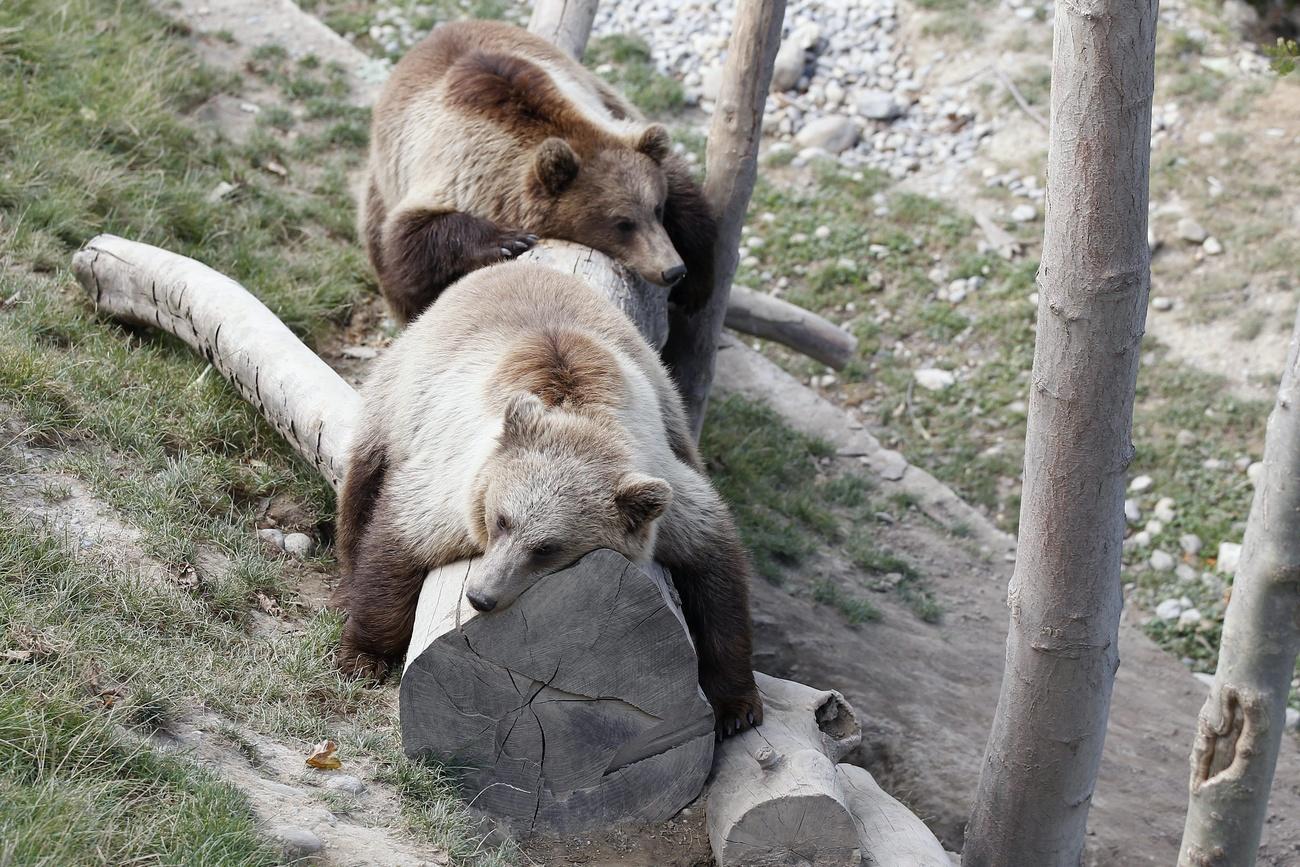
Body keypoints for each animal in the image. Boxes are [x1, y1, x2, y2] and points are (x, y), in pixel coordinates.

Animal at [335, 261, 759, 738]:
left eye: (547, 549)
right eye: (501, 520)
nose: (481, 596)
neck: (578, 421)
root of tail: (516, 265)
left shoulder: (666, 488)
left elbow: (716, 577)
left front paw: (737, 707)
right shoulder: (458, 485)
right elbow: (397, 543)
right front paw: (363, 654)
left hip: (669, 402)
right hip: (401, 393)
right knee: (361, 484)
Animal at [361, 22, 717, 328]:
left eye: (657, 208)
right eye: (622, 223)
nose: (672, 269)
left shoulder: (608, 117)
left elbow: (685, 194)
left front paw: (695, 286)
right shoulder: (451, 170)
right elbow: (406, 243)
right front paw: (509, 240)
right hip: (381, 178)